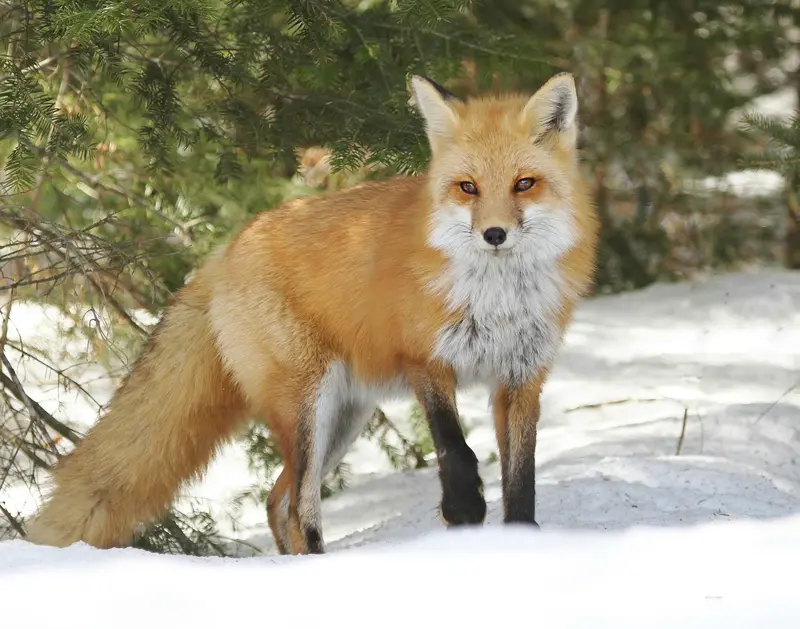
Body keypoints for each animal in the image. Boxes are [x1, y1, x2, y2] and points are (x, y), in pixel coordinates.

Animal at [25, 72, 599, 555]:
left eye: (524, 183)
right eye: (468, 188)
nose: (493, 234)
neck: (499, 300)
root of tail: (225, 249)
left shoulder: (521, 379)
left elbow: (522, 485)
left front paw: (519, 546)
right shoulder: (426, 361)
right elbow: (455, 454)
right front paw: (463, 510)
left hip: (341, 419)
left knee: (277, 502)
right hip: (307, 404)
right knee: (298, 509)